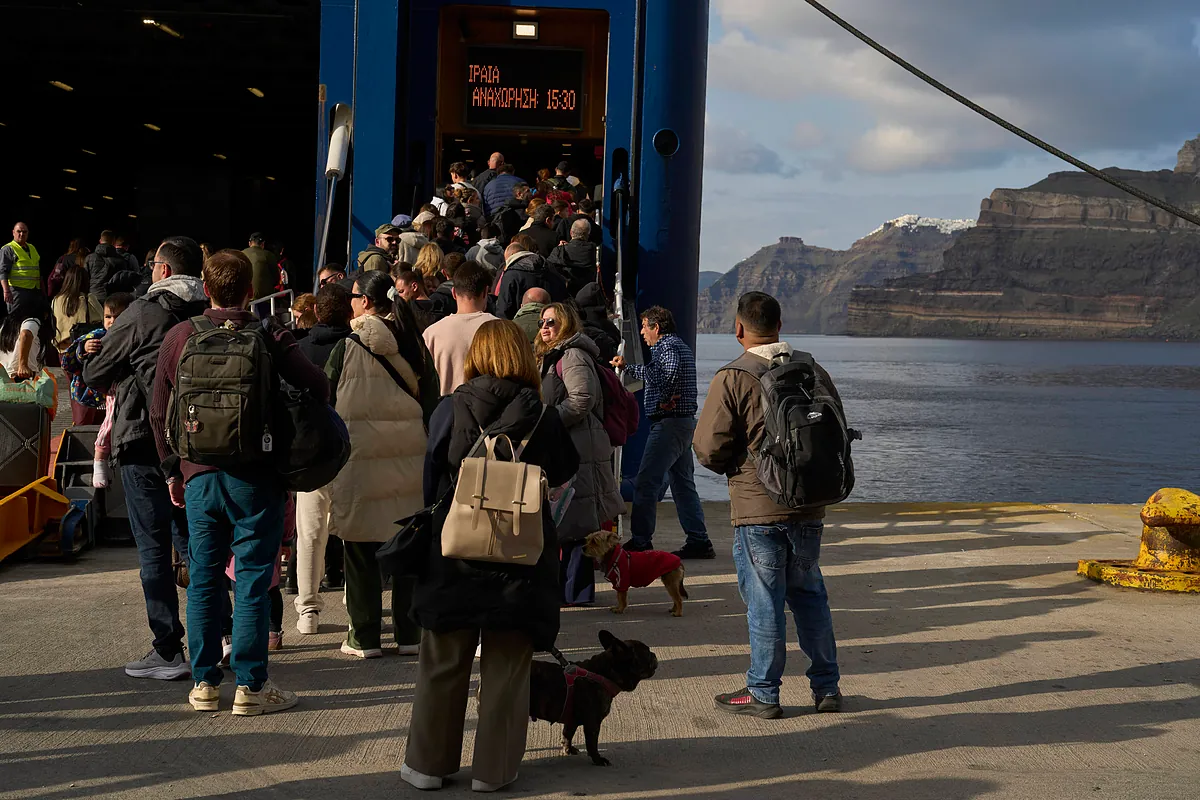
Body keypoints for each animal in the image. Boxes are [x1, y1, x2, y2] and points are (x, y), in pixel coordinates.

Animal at [528, 628, 657, 767]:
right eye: (647, 653)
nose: (654, 654)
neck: (604, 674)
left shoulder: (571, 720)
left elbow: (568, 733)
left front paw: (568, 748)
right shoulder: (593, 722)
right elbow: (592, 743)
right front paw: (598, 759)